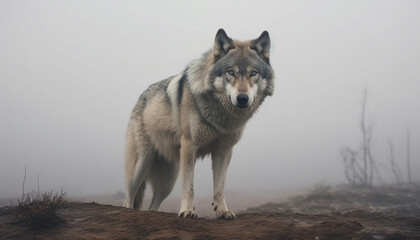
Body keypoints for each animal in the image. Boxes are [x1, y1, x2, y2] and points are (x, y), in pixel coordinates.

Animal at [123, 28, 274, 219]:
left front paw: (222, 211)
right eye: (230, 72)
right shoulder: (189, 146)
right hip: (141, 166)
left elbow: (219, 187)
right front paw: (187, 211)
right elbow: (189, 187)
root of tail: (141, 97)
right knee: (128, 199)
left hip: (167, 182)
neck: (220, 116)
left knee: (153, 206)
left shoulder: (224, 151)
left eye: (253, 73)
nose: (242, 98)